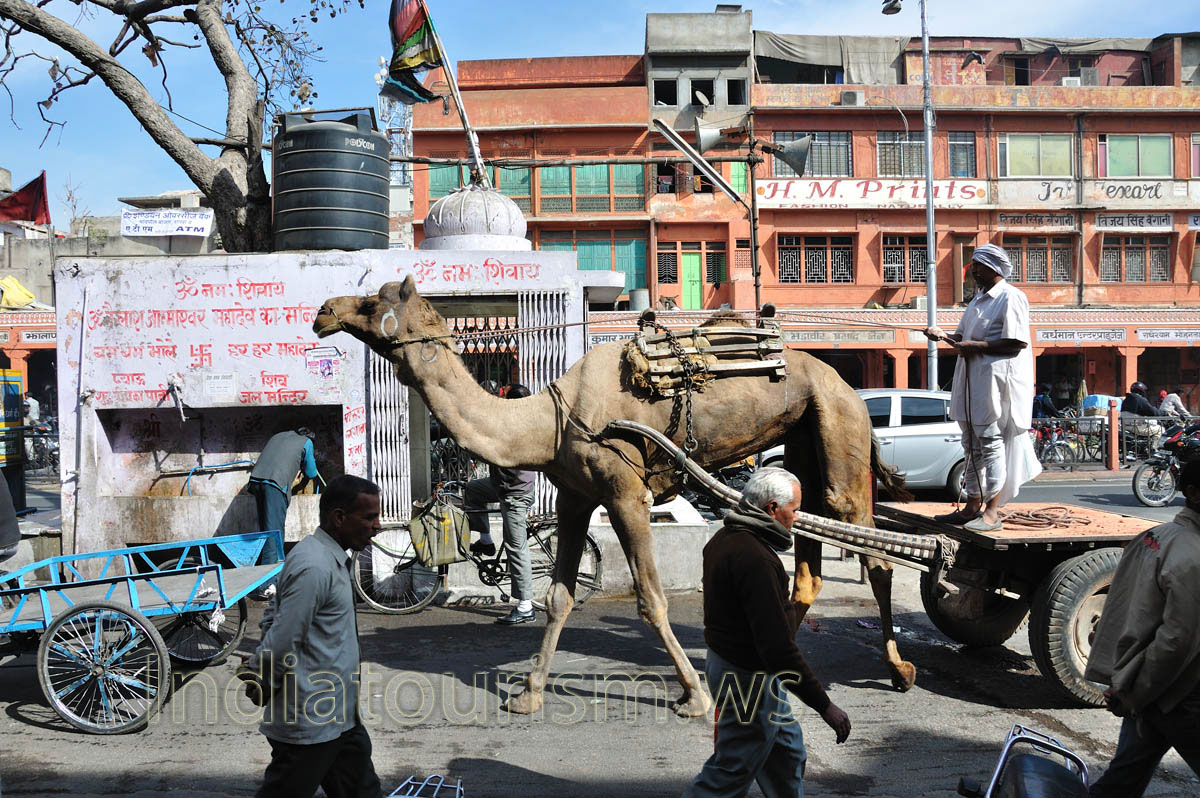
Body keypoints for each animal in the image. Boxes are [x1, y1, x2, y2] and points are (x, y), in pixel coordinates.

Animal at [314, 276, 916, 717]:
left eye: (371, 301)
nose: (323, 310)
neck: (548, 422)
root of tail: (843, 379)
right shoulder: (576, 497)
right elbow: (559, 595)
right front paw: (528, 694)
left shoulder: (627, 494)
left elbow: (650, 597)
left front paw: (694, 696)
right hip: (803, 438)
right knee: (809, 559)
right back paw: (778, 665)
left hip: (840, 422)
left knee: (870, 545)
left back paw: (898, 670)